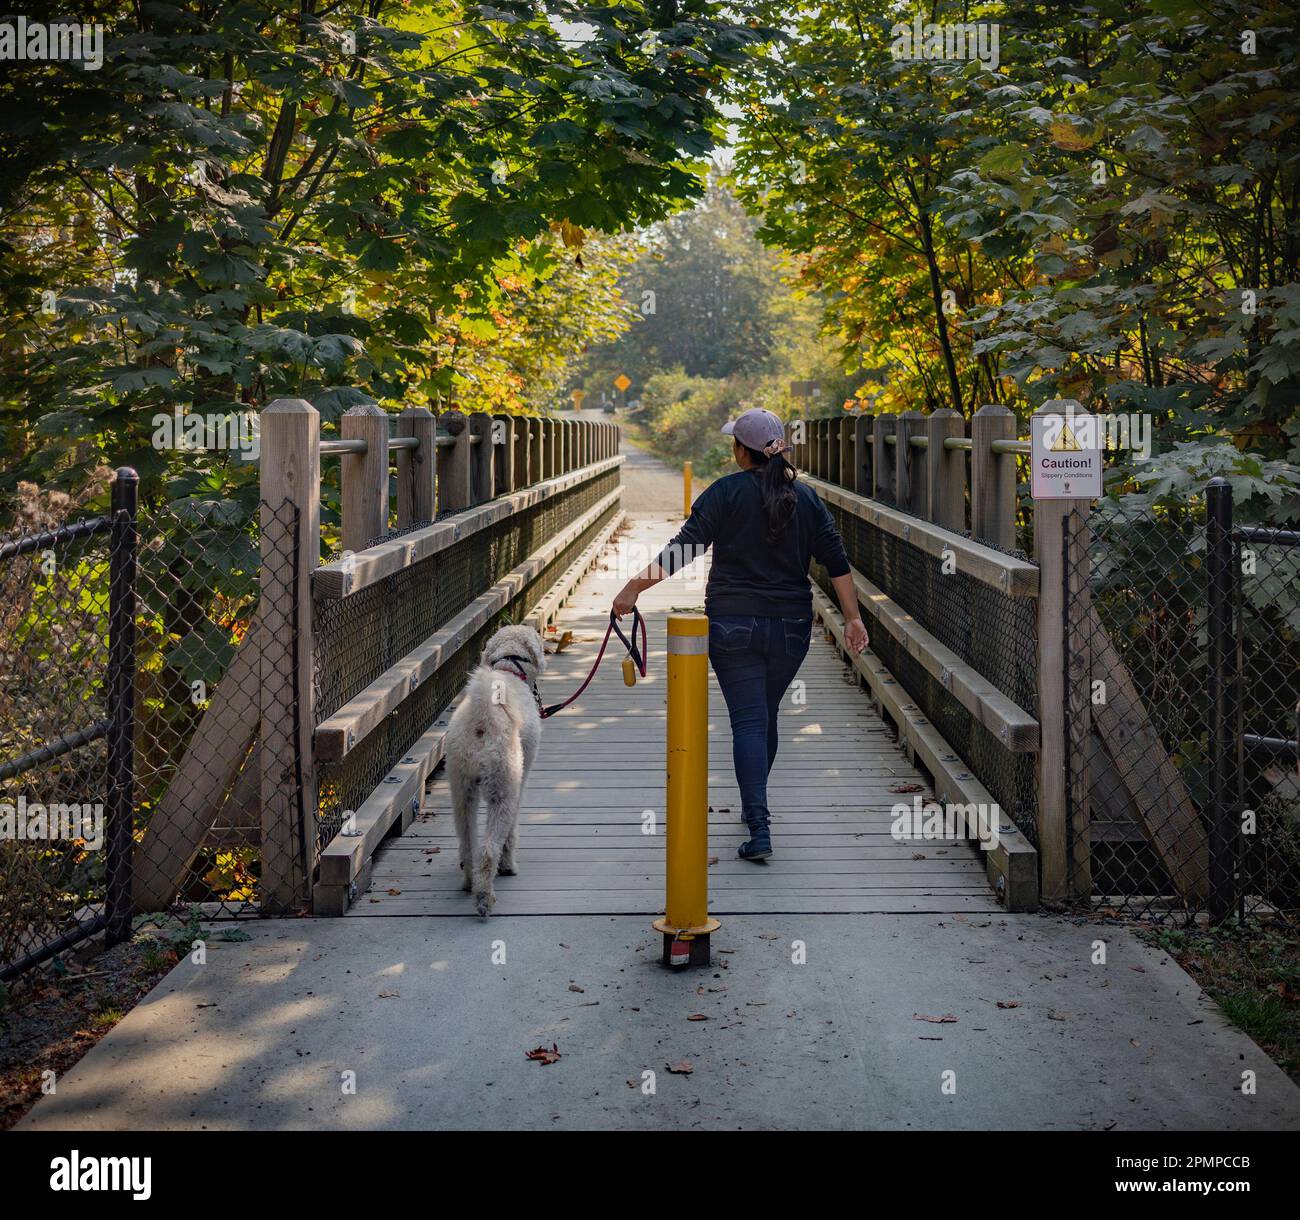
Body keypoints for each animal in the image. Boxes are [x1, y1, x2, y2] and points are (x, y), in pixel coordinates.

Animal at [444, 626, 546, 915]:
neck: (508, 668)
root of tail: (483, 717)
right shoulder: (520, 780)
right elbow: (511, 830)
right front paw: (508, 864)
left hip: (461, 789)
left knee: (469, 844)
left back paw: (469, 882)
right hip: (502, 787)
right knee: (488, 850)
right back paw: (484, 897)